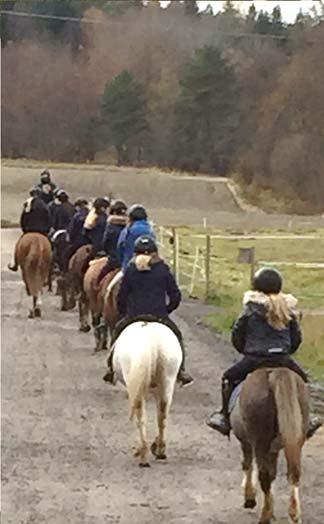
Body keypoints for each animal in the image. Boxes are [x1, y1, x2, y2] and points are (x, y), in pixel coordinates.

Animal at [112, 320, 182, 466]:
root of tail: (152, 343)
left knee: (140, 415)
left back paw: (143, 454)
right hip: (167, 380)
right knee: (163, 414)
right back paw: (160, 451)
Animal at [230, 368, 308, 524]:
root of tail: (276, 373)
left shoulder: (246, 442)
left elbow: (247, 464)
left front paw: (250, 497)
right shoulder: (272, 450)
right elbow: (272, 473)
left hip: (261, 442)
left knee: (264, 476)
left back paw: (265, 516)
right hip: (295, 438)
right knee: (293, 473)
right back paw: (294, 515)